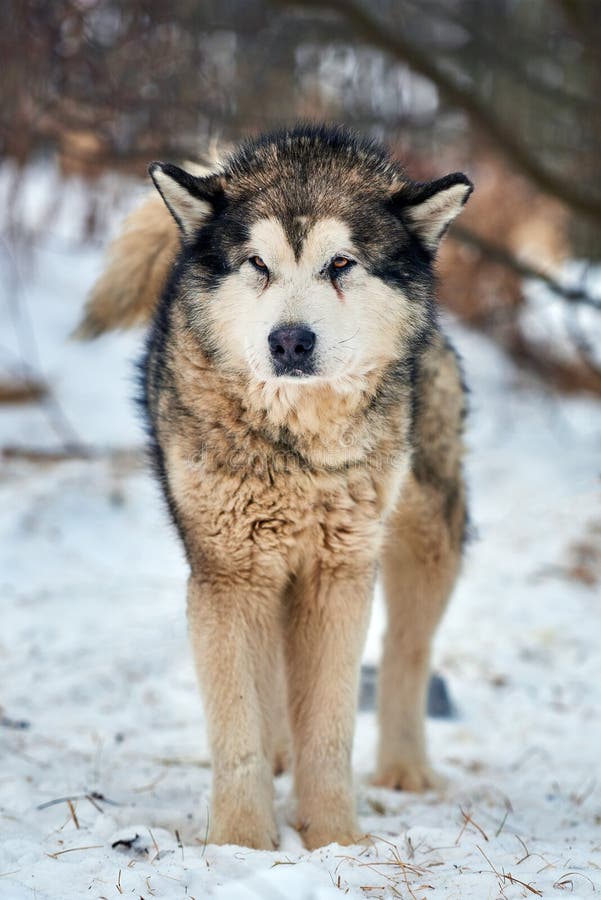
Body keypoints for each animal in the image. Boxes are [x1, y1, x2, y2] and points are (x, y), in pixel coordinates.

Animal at [78, 125, 474, 852]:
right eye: (257, 264)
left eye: (340, 264)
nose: (289, 341)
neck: (298, 449)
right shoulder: (230, 576)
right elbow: (239, 727)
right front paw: (241, 843)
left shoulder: (339, 574)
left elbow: (332, 729)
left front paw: (334, 841)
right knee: (275, 682)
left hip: (428, 538)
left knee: (405, 651)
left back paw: (404, 769)